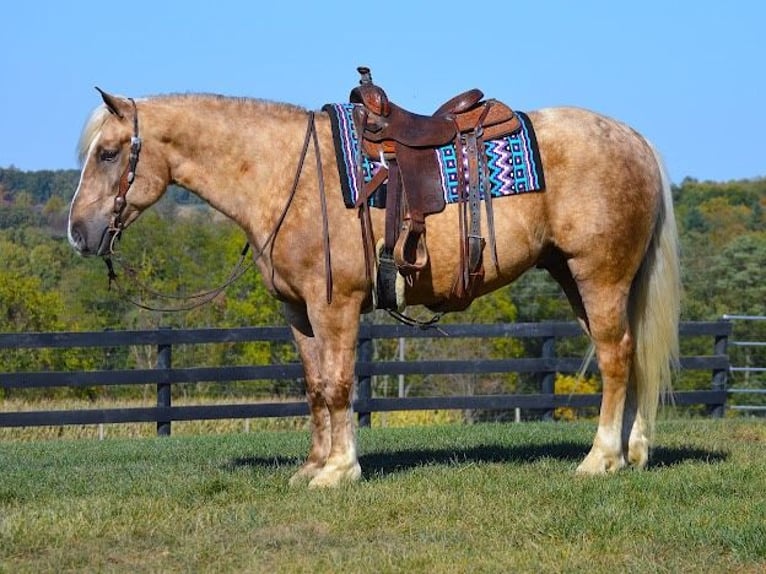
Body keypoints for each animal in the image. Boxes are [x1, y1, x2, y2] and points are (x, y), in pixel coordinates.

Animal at [67, 88, 680, 488]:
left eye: (109, 153)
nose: (78, 232)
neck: (284, 173)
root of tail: (636, 140)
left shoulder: (334, 305)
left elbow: (339, 385)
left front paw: (339, 471)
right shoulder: (299, 312)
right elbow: (315, 387)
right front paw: (312, 466)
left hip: (598, 275)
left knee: (616, 358)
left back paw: (600, 459)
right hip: (579, 279)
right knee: (629, 357)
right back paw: (633, 454)